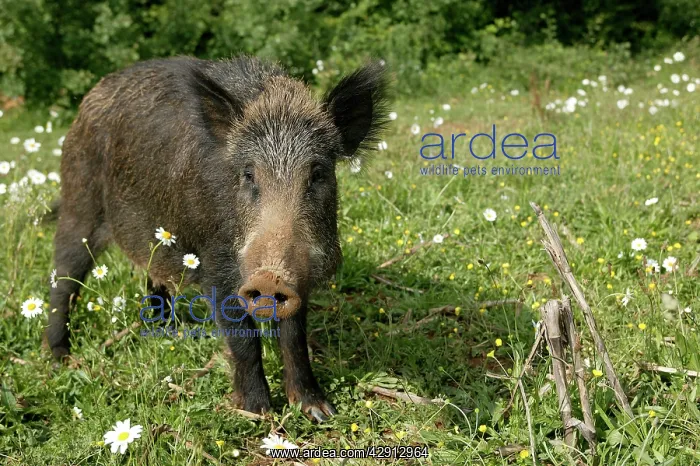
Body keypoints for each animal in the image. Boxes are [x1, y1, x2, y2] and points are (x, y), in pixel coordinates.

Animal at [46, 56, 389, 421]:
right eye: (248, 174)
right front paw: (257, 413)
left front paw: (319, 412)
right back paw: (60, 358)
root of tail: (88, 101)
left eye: (318, 173)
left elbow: (294, 335)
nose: (269, 278)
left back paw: (168, 334)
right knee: (63, 279)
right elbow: (243, 335)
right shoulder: (216, 263)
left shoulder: (300, 275)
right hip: (79, 203)